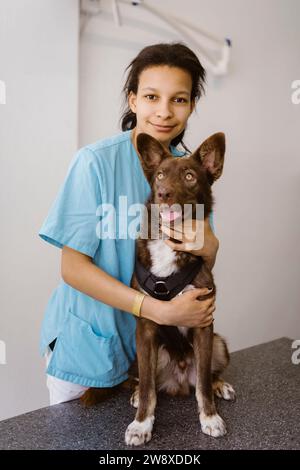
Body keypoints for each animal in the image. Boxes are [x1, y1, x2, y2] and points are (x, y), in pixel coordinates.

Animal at [123, 131, 236, 444]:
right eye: (160, 175)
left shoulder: (203, 324)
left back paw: (220, 385)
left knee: (205, 376)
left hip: (218, 344)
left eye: (189, 176)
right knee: (146, 381)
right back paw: (136, 394)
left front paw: (210, 417)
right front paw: (141, 425)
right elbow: (148, 390)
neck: (170, 240)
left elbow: (204, 387)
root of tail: (180, 379)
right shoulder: (145, 327)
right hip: (139, 354)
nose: (163, 193)